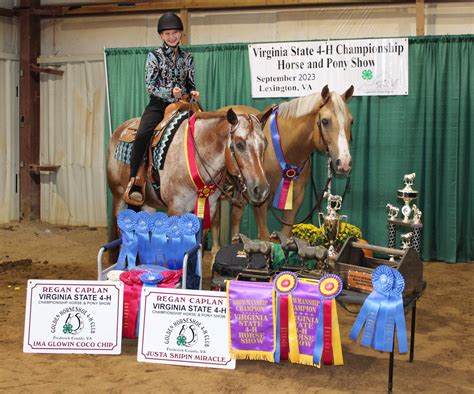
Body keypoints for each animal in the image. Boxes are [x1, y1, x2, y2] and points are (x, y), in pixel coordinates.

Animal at [108, 107, 270, 243]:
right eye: (240, 144)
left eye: (265, 144)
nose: (262, 190)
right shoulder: (175, 210)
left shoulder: (208, 210)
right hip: (119, 196)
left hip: (148, 205)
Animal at [213, 85, 354, 249]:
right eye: (325, 121)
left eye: (351, 121)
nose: (344, 162)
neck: (283, 149)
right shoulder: (260, 200)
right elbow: (264, 236)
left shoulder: (296, 197)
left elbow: (286, 234)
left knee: (236, 215)